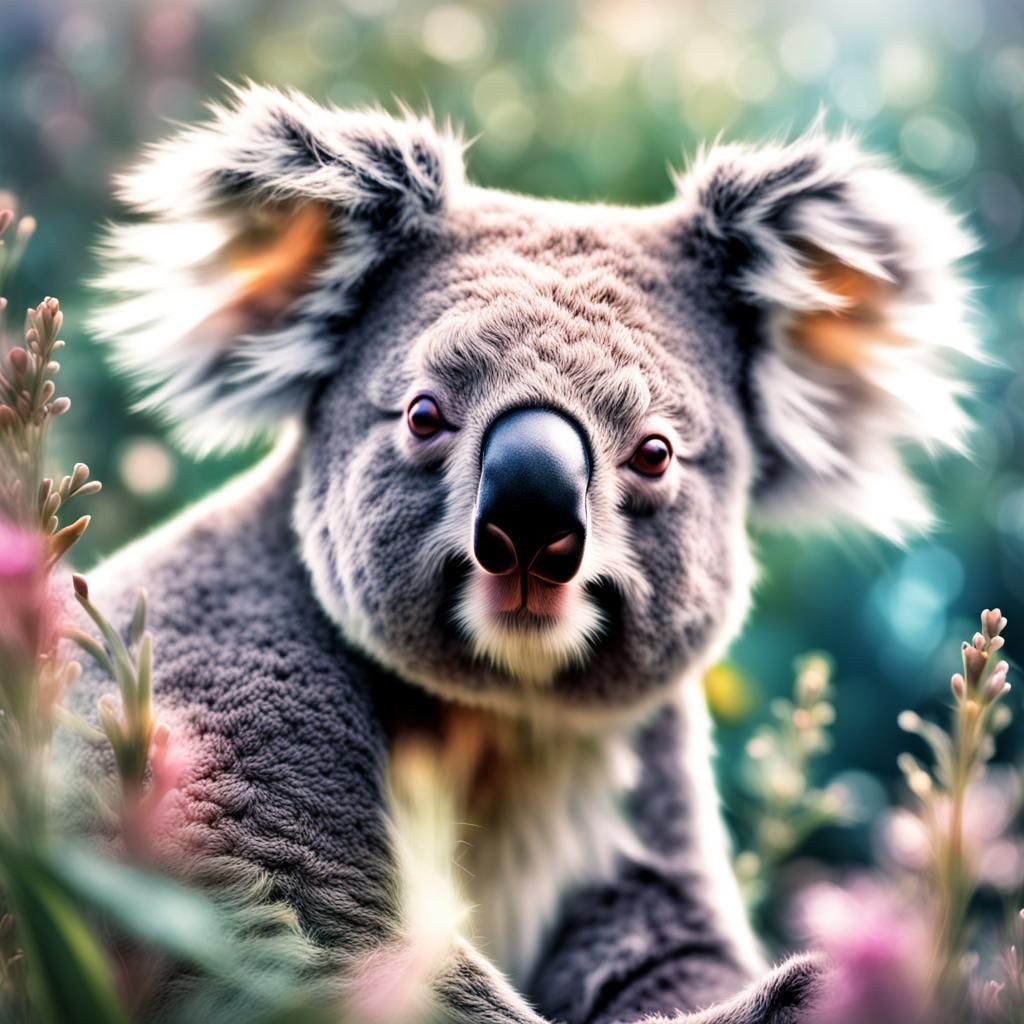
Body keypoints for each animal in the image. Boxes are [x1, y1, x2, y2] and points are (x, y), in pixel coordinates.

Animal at [71, 83, 974, 1023]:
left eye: (655, 453)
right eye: (424, 415)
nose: (532, 526)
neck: (497, 715)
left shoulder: (634, 772)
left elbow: (666, 949)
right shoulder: (217, 683)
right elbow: (314, 924)